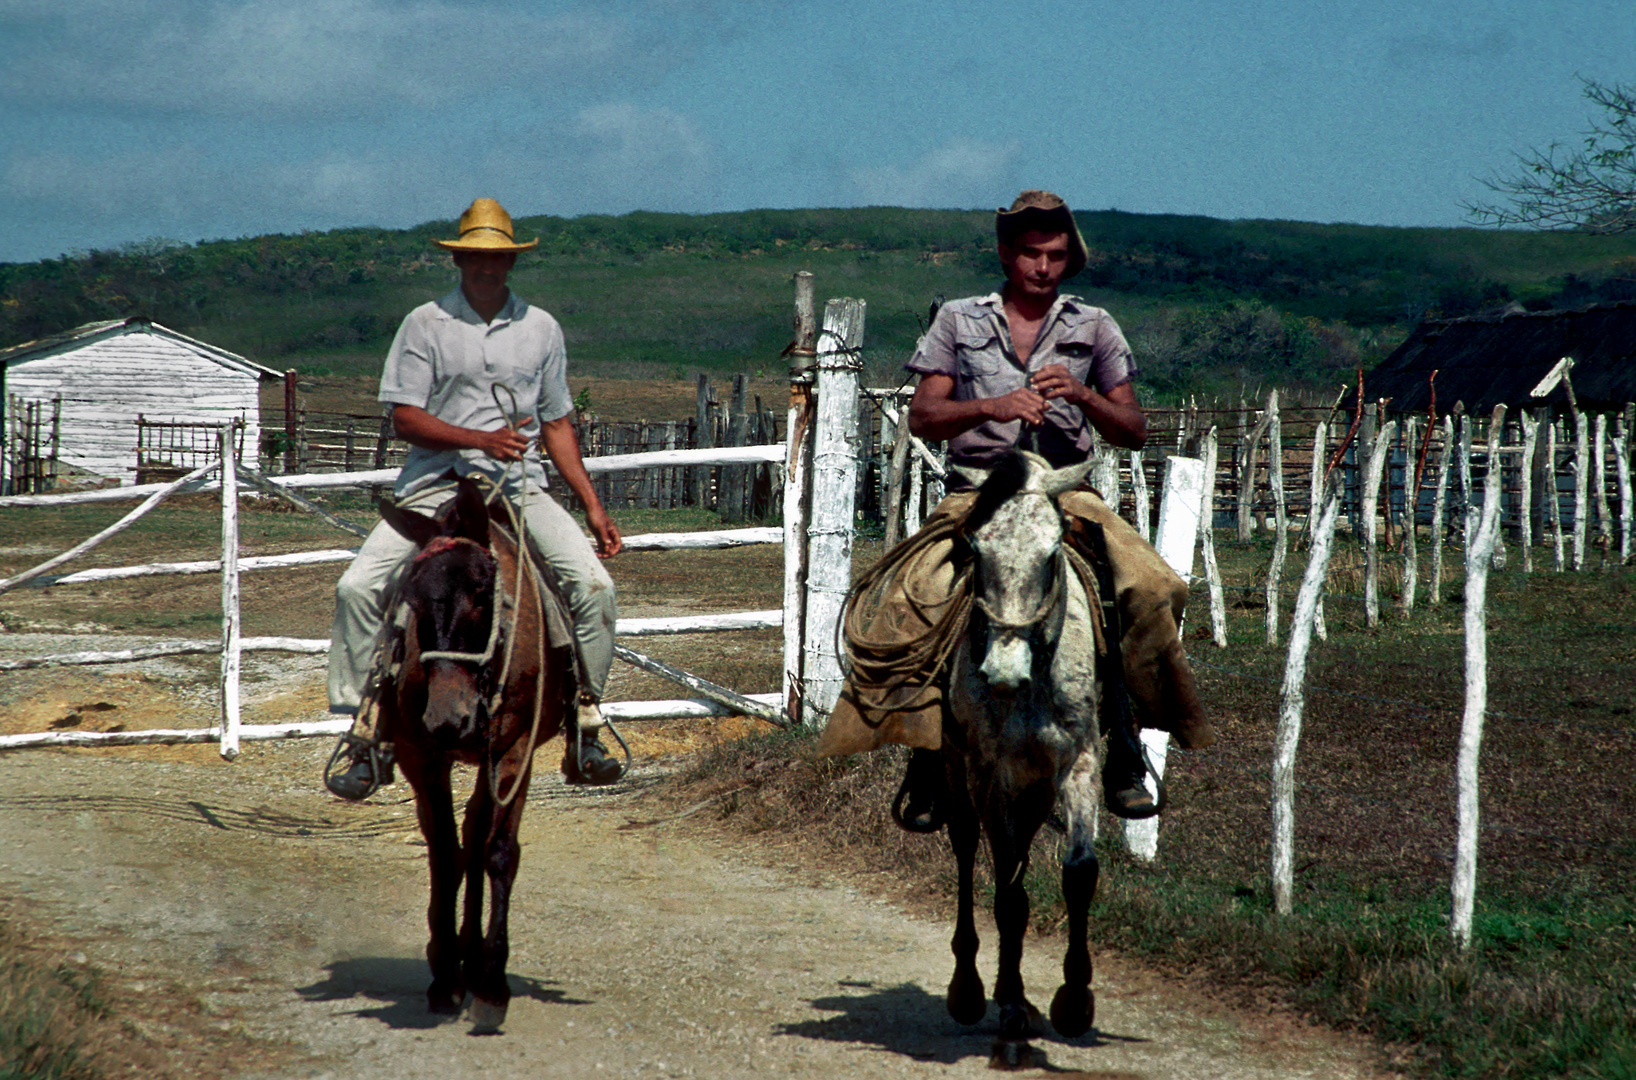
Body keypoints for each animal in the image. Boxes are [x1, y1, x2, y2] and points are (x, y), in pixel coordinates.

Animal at [374, 477, 575, 1034]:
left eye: (484, 592)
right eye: (411, 596)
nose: (449, 718)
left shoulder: (514, 751)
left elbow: (499, 852)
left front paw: (490, 984)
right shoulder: (420, 754)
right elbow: (445, 853)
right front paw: (446, 974)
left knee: (480, 833)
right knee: (461, 839)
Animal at [942, 451, 1105, 1066]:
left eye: (1052, 550)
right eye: (976, 548)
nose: (1003, 674)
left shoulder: (1078, 760)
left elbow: (1078, 871)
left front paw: (1074, 1000)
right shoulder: (993, 773)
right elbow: (1007, 892)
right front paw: (1010, 1011)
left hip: (1035, 788)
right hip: (962, 774)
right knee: (968, 851)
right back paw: (970, 990)